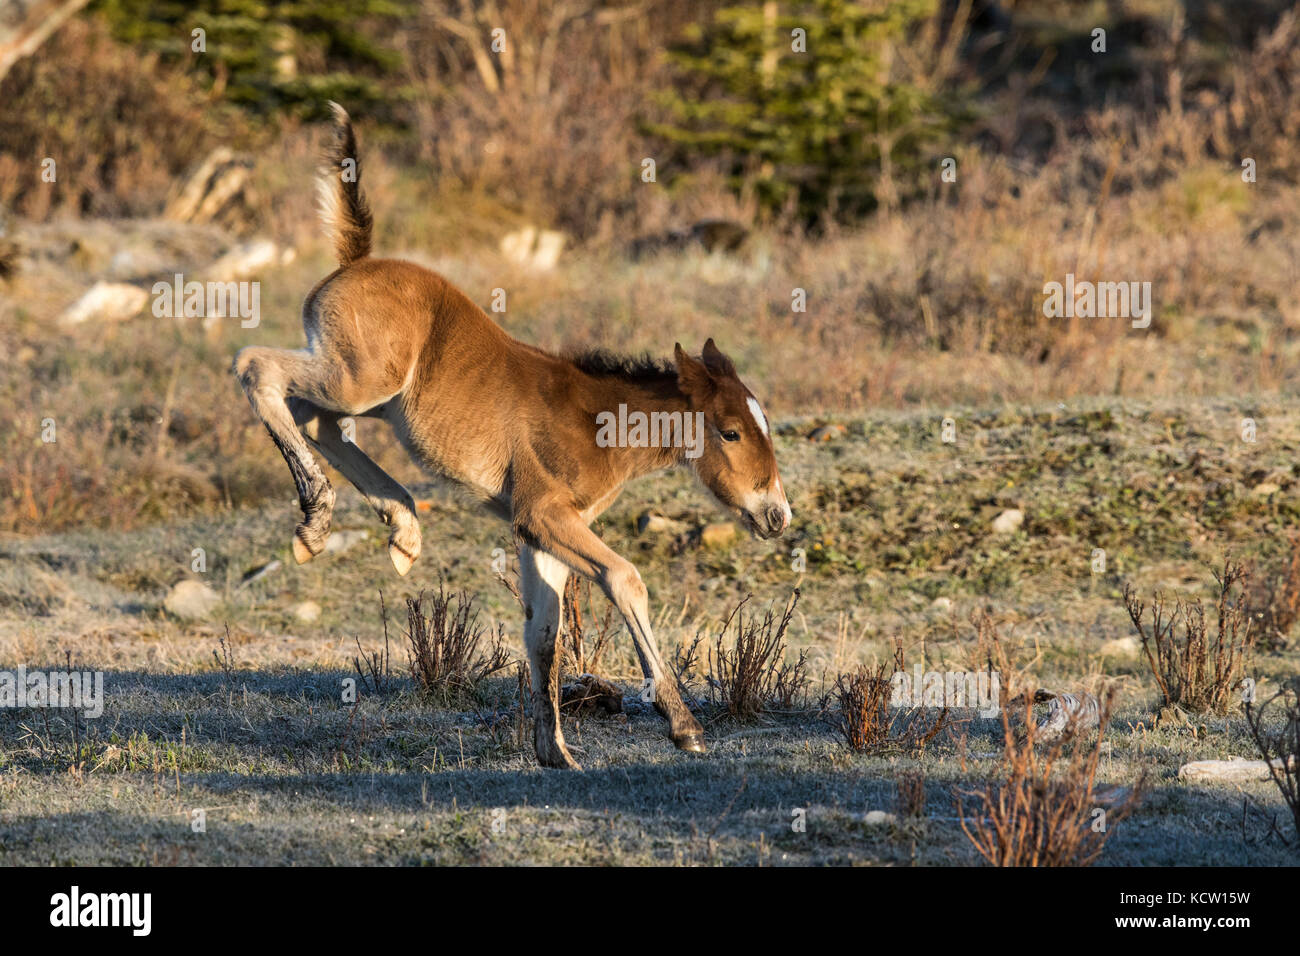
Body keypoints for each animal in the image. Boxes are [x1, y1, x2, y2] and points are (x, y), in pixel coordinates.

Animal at [233, 102, 790, 770]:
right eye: (730, 432)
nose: (777, 514)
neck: (597, 422)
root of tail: (355, 261)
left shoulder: (538, 533)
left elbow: (544, 635)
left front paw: (556, 754)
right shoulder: (543, 512)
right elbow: (625, 578)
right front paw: (682, 725)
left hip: (368, 392)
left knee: (318, 418)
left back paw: (401, 527)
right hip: (361, 379)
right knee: (258, 368)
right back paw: (319, 519)